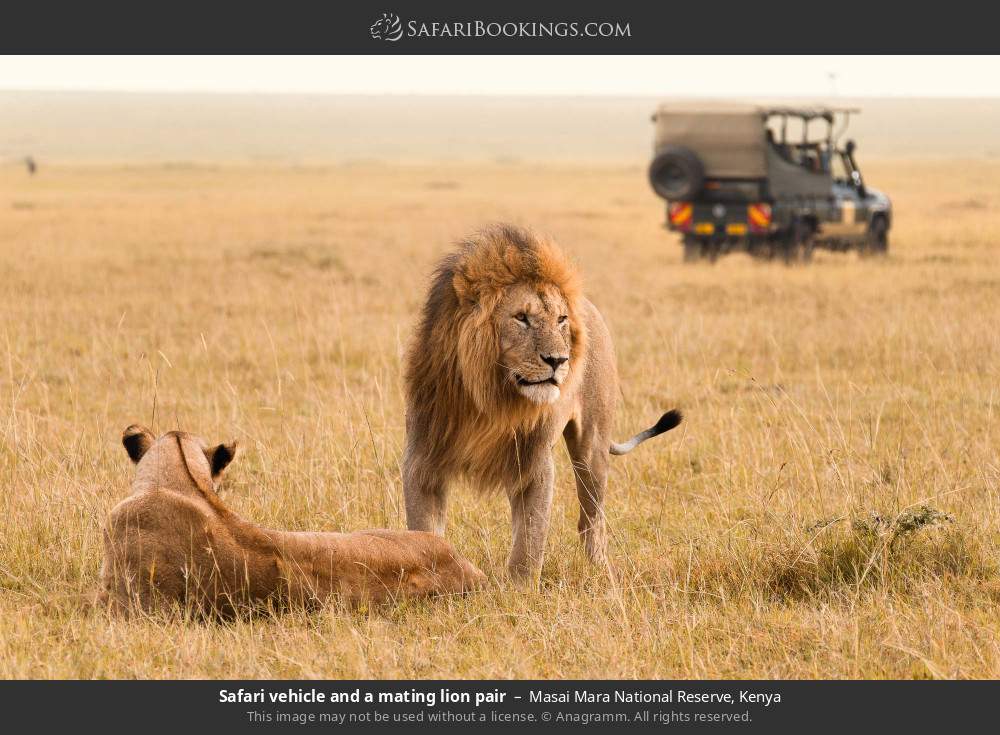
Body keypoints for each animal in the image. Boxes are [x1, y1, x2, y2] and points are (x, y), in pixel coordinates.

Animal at [402, 226, 684, 588]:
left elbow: (530, 538)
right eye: (521, 318)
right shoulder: (423, 457)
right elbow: (424, 531)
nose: (558, 360)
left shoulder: (534, 462)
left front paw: (519, 591)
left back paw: (599, 570)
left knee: (592, 518)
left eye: (561, 319)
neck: (491, 399)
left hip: (592, 447)